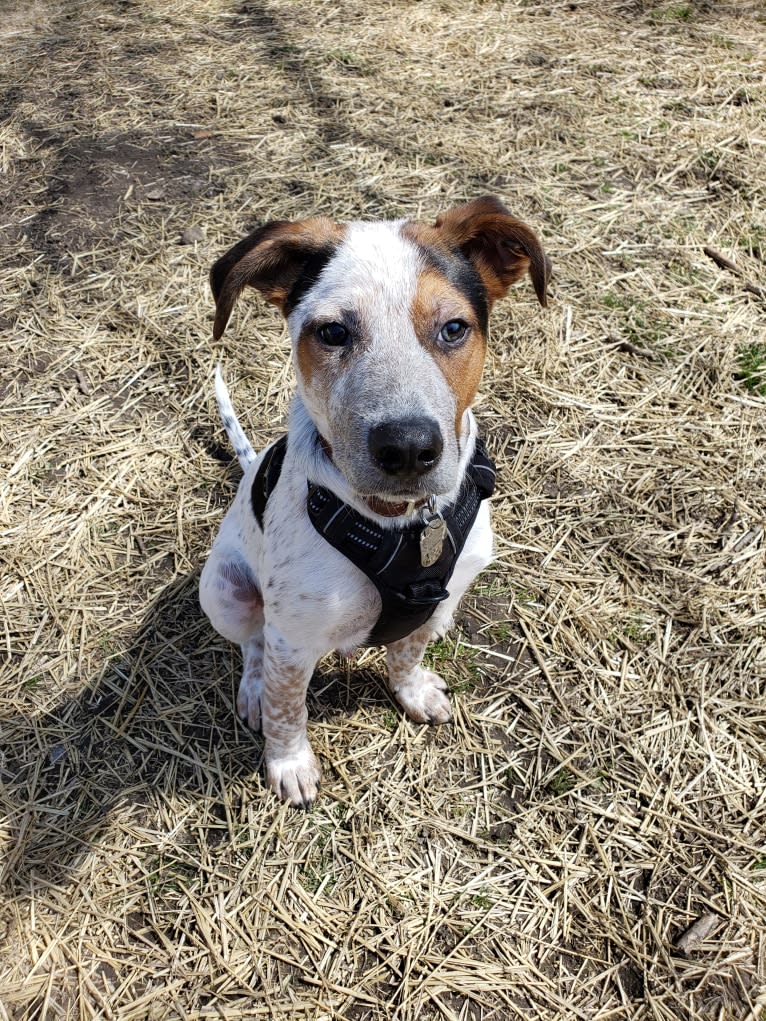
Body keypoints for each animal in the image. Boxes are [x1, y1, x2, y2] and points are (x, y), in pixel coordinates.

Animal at [198, 197, 547, 804]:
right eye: (333, 332)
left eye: (454, 328)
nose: (407, 448)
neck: (399, 523)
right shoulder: (292, 638)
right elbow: (287, 706)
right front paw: (288, 762)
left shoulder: (434, 601)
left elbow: (407, 653)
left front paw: (412, 693)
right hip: (224, 592)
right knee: (252, 647)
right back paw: (252, 691)